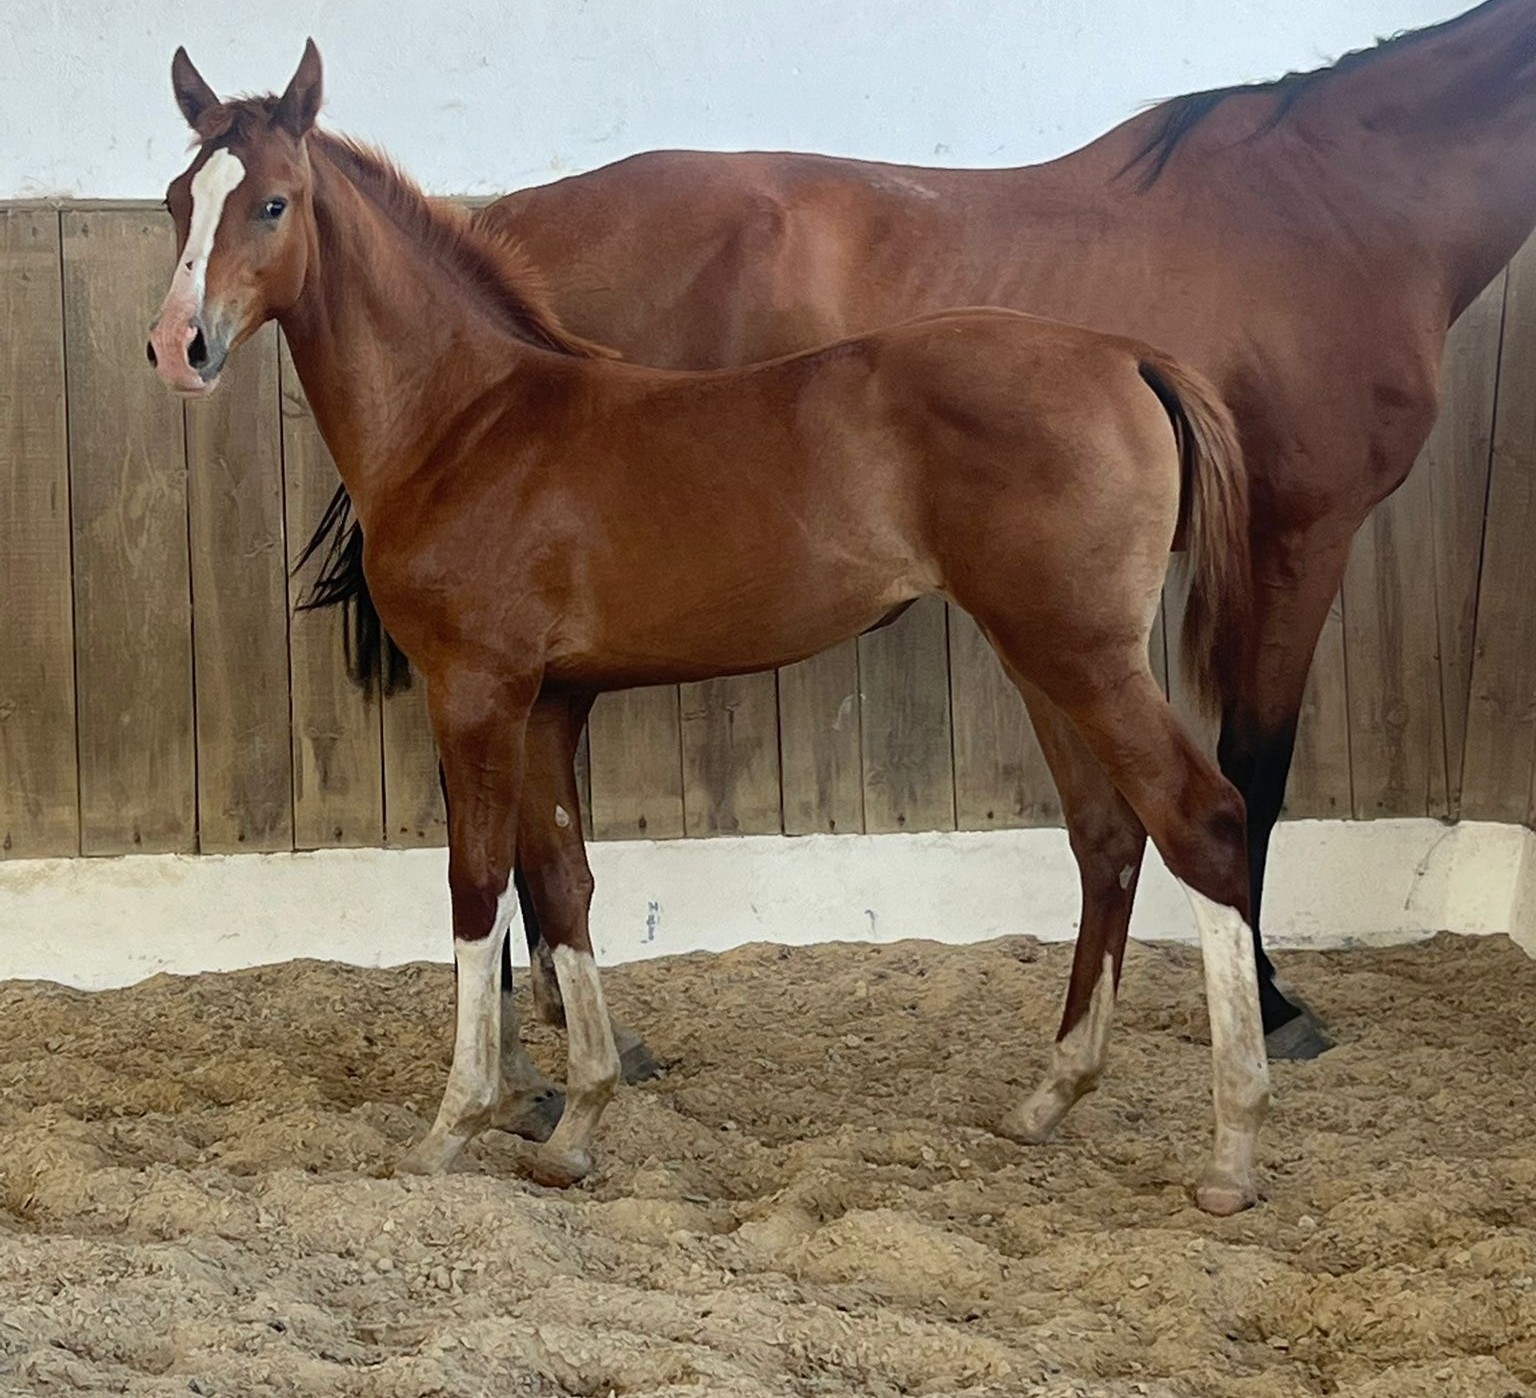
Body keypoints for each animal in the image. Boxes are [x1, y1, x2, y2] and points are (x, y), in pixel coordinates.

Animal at [149, 43, 1268, 1214]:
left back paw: (1231, 1150)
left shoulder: (478, 691)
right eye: (179, 199)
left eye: (272, 202)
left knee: (1200, 819)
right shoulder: (549, 703)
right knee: (1108, 835)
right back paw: (1049, 1098)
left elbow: (478, 888)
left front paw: (454, 1125)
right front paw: (576, 1124)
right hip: (1044, 658)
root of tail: (1127, 356)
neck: (466, 422)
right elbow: (563, 884)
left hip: (1080, 656)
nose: (178, 347)